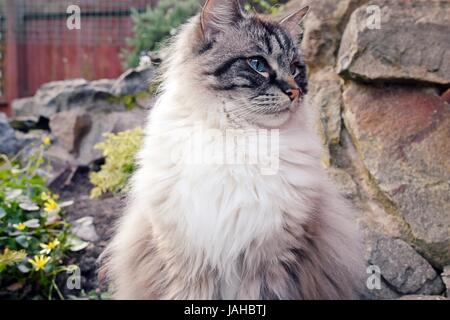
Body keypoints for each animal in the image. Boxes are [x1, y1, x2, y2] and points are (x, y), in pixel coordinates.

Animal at [100, 0, 364, 300]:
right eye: (258, 64)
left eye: (296, 68)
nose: (295, 92)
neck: (239, 136)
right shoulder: (188, 262)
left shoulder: (269, 260)